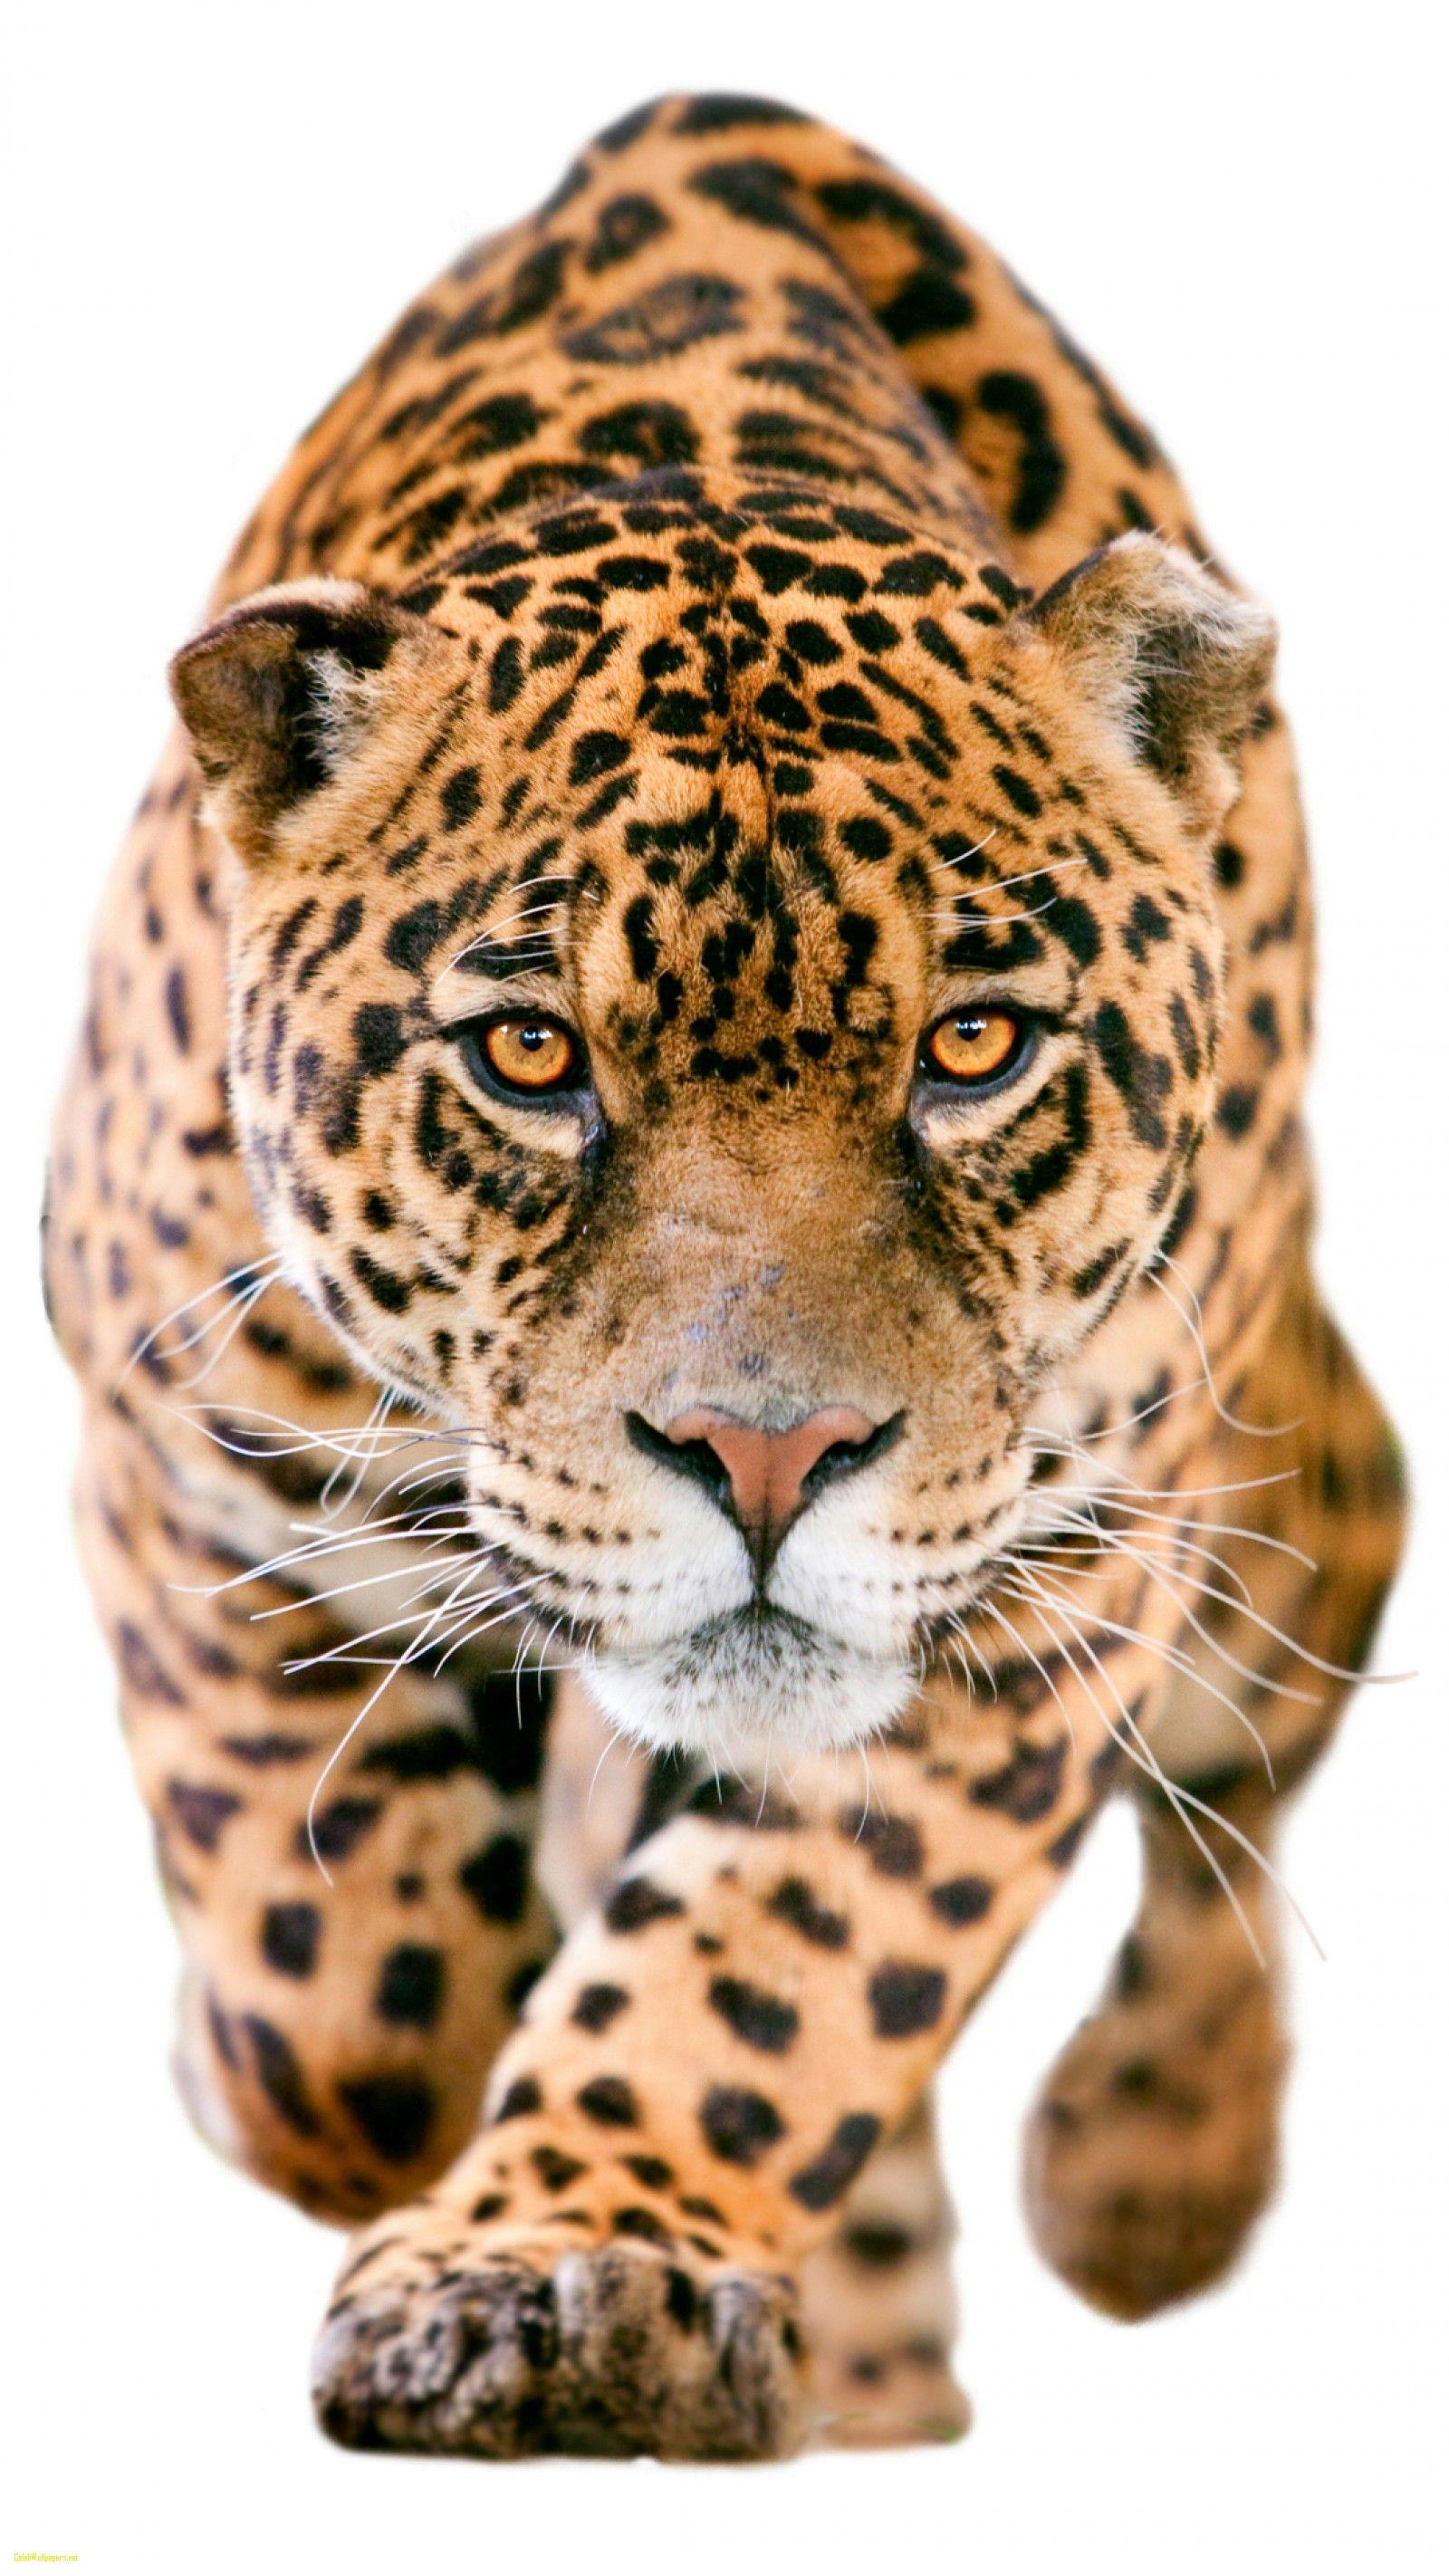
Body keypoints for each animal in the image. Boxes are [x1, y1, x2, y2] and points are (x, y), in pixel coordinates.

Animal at [45, 92, 1405, 2461]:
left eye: (974, 1048)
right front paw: (360, 2102)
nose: (765, 1460)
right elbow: (340, 1993)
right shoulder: (174, 1443)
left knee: (1268, 1719)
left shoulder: (1047, 1580)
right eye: (529, 1057)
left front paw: (567, 2266)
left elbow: (781, 1966)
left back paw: (1139, 2179)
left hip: (1262, 1501)